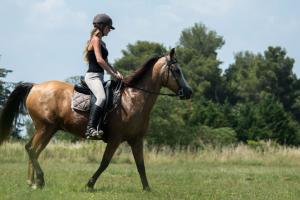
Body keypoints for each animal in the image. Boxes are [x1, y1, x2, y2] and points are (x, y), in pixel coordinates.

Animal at [0, 48, 192, 191]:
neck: (134, 99)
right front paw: (89, 184)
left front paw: (147, 189)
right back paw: (39, 180)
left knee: (32, 149)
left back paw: (32, 183)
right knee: (32, 150)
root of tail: (35, 86)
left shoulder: (137, 140)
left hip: (48, 129)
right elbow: (105, 162)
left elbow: (141, 165)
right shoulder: (115, 139)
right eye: (176, 70)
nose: (189, 92)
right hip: (45, 128)